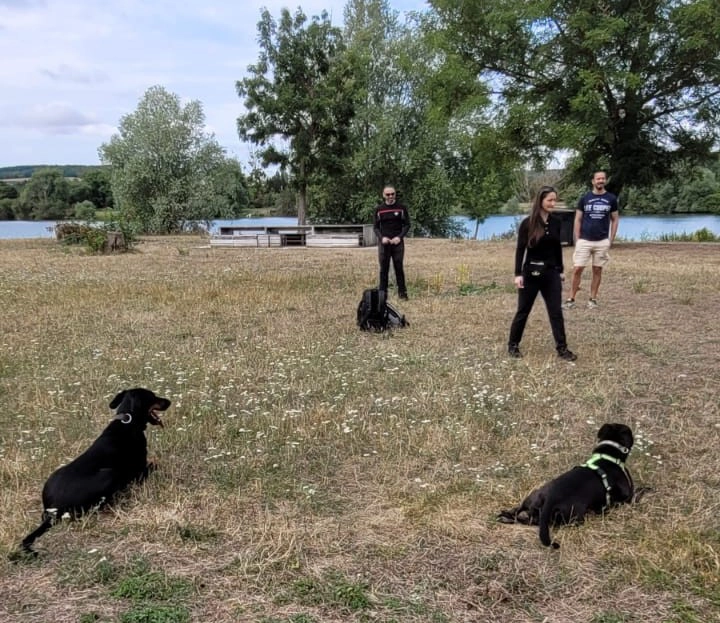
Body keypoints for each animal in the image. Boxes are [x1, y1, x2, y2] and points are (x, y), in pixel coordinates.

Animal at [20, 390, 169, 556]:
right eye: (153, 396)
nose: (168, 401)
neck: (127, 422)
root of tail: (54, 509)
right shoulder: (140, 471)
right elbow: (156, 465)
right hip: (109, 475)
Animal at [498, 424, 644, 552]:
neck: (608, 456)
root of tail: (551, 498)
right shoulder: (627, 497)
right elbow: (637, 493)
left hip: (533, 497)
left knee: (519, 512)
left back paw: (505, 517)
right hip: (575, 517)